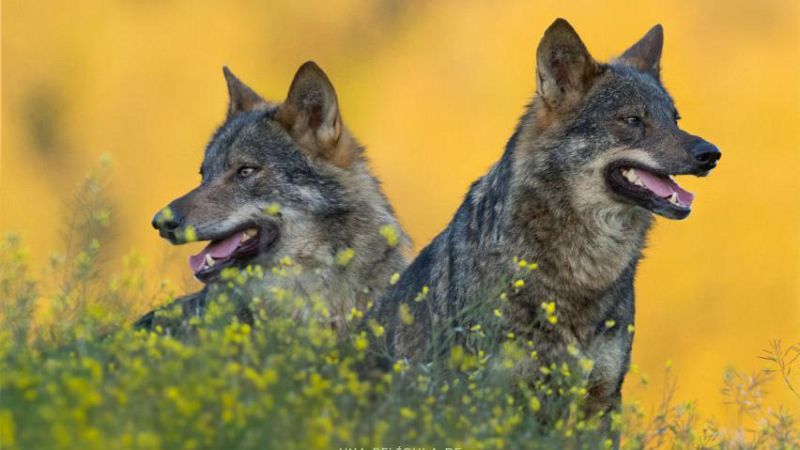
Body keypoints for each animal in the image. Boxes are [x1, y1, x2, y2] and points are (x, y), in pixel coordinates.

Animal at [369, 19, 720, 423]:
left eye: (675, 119)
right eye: (632, 120)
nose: (710, 154)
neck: (583, 271)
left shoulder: (601, 398)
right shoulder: (498, 398)